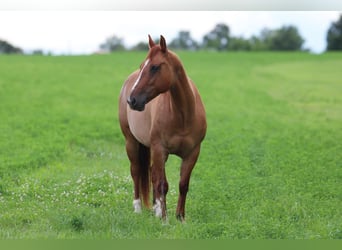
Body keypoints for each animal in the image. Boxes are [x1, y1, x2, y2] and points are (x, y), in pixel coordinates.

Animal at [119, 35, 207, 221]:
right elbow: (162, 184)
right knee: (136, 171)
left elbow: (183, 184)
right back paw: (138, 208)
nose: (132, 100)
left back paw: (155, 208)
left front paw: (180, 217)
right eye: (142, 66)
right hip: (131, 142)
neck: (183, 116)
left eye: (154, 67)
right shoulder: (160, 149)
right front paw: (165, 219)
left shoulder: (192, 153)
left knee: (152, 173)